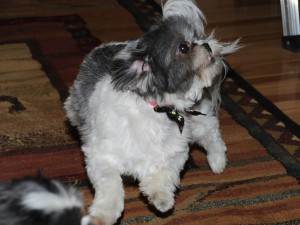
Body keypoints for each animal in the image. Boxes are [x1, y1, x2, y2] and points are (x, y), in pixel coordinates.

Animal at [63, 0, 239, 224]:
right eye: (183, 47)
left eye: (196, 37)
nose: (206, 44)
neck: (158, 109)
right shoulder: (101, 155)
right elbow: (110, 183)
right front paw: (104, 213)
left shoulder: (174, 152)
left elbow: (165, 173)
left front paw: (160, 196)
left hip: (200, 122)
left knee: (212, 135)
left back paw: (217, 161)